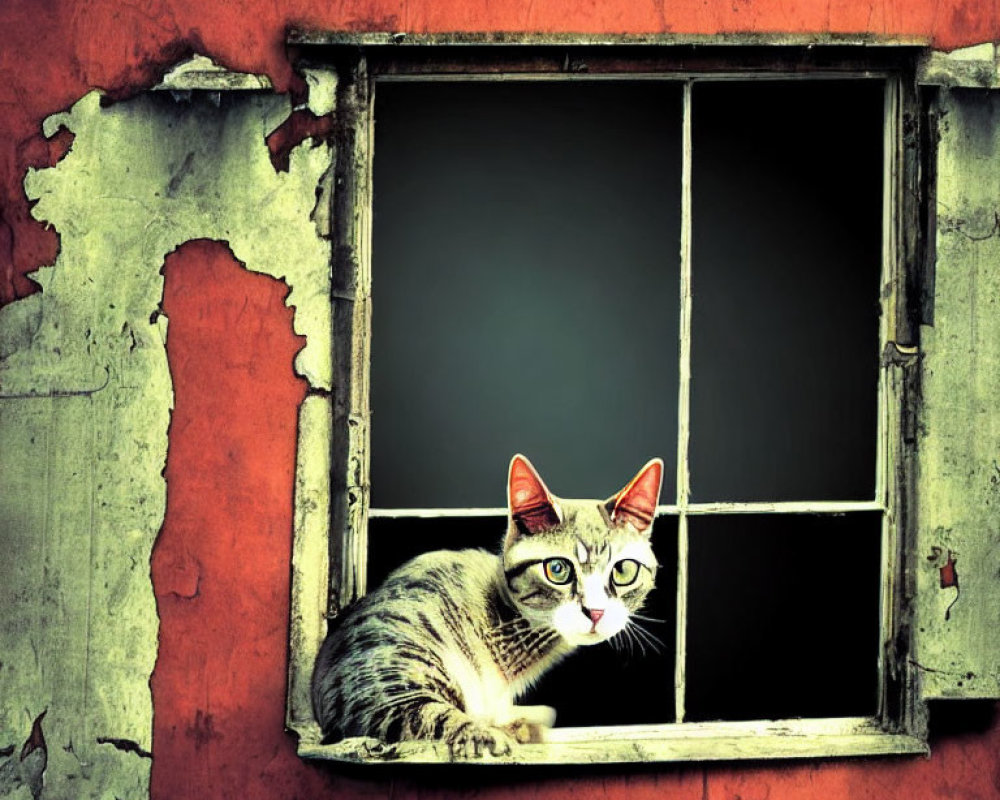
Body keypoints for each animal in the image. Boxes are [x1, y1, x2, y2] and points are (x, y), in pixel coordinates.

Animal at [308, 454, 660, 760]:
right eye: (557, 569)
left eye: (623, 570)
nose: (596, 612)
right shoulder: (368, 686)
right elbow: (422, 715)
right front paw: (485, 735)